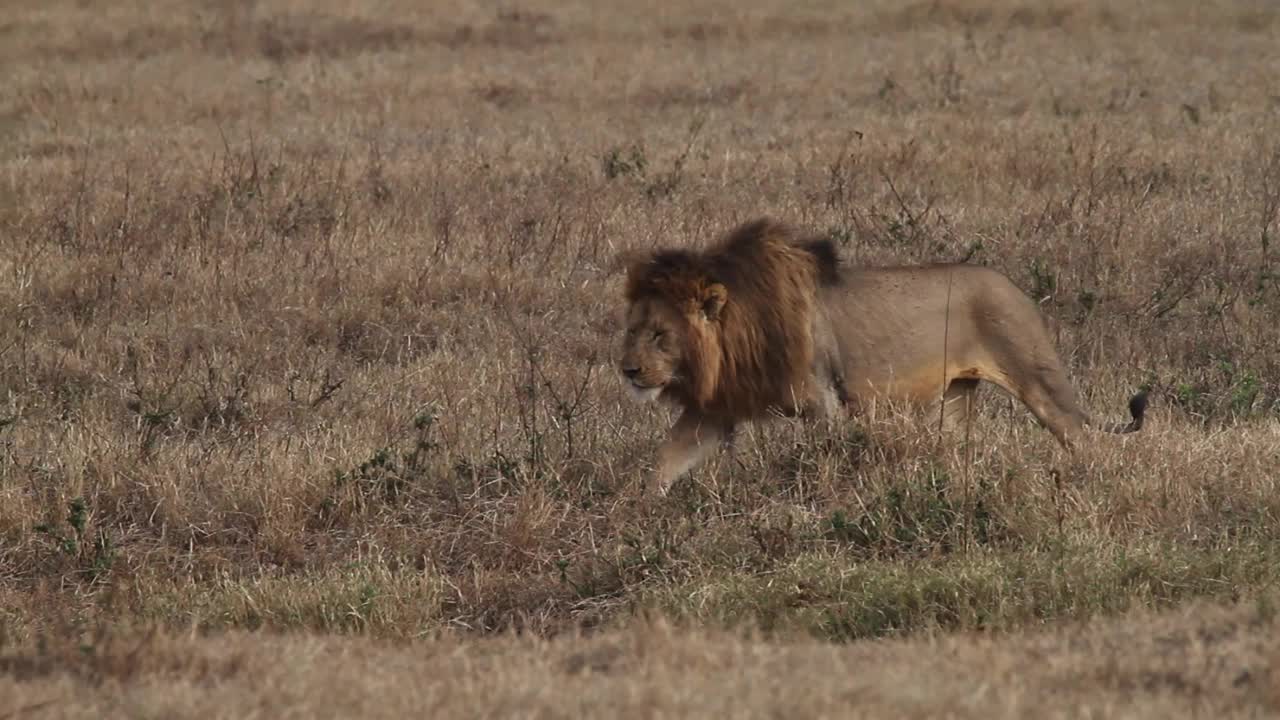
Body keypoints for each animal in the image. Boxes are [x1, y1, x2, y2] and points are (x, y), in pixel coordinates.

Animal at [619, 215, 1152, 491]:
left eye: (661, 335)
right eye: (632, 329)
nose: (627, 371)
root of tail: (1018, 289)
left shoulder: (821, 401)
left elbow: (825, 456)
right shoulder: (716, 409)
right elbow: (664, 460)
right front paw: (636, 509)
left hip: (1035, 377)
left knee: (1081, 436)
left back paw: (1093, 479)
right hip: (957, 395)